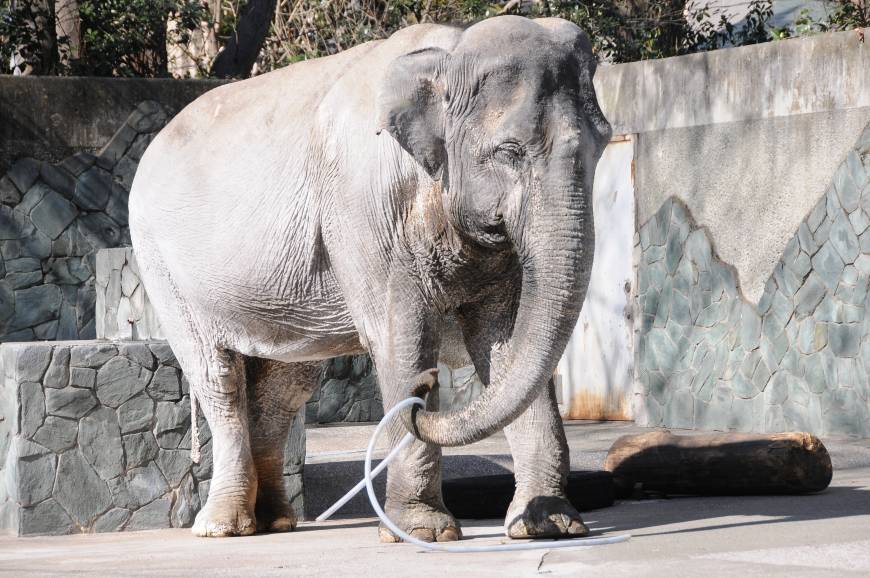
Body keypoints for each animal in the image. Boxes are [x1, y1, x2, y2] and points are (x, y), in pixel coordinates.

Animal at [131, 16, 612, 540]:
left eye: (603, 144)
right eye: (509, 151)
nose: (427, 391)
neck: (448, 55)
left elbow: (504, 340)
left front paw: (550, 525)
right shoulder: (364, 208)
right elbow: (401, 339)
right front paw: (424, 533)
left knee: (285, 386)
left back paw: (276, 522)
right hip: (161, 265)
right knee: (217, 375)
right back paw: (223, 528)